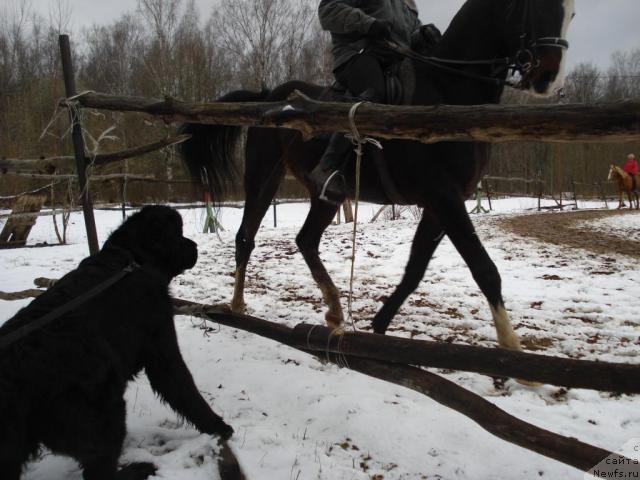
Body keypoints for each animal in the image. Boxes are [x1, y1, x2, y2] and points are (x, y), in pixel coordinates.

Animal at [0, 206, 234, 480]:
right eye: (177, 234)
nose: (195, 246)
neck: (135, 258)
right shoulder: (160, 339)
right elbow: (182, 385)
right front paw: (218, 426)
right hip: (104, 406)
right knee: (99, 469)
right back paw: (139, 469)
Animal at [180, 0, 576, 352]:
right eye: (534, 5)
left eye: (571, 13)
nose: (549, 78)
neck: (448, 91)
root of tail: (268, 95)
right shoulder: (444, 197)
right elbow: (484, 268)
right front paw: (513, 349)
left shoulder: (440, 203)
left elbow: (415, 270)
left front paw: (379, 326)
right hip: (264, 178)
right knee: (246, 237)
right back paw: (237, 306)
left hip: (327, 196)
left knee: (306, 240)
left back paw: (335, 312)